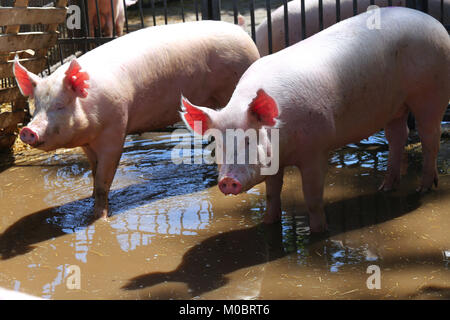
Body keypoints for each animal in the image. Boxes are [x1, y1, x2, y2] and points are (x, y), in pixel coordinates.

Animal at [14, 20, 260, 220]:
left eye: (60, 105)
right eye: (37, 106)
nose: (28, 130)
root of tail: (244, 35)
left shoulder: (115, 129)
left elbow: (103, 180)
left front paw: (99, 218)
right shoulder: (88, 143)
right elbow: (94, 173)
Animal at [182, 7, 450, 232]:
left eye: (249, 140)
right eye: (219, 144)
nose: (228, 181)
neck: (283, 144)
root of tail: (433, 22)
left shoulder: (316, 150)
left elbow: (312, 197)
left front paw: (320, 232)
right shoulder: (273, 161)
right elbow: (272, 194)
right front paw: (269, 223)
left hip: (431, 92)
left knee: (430, 137)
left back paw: (424, 188)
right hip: (395, 106)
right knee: (397, 136)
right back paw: (386, 187)